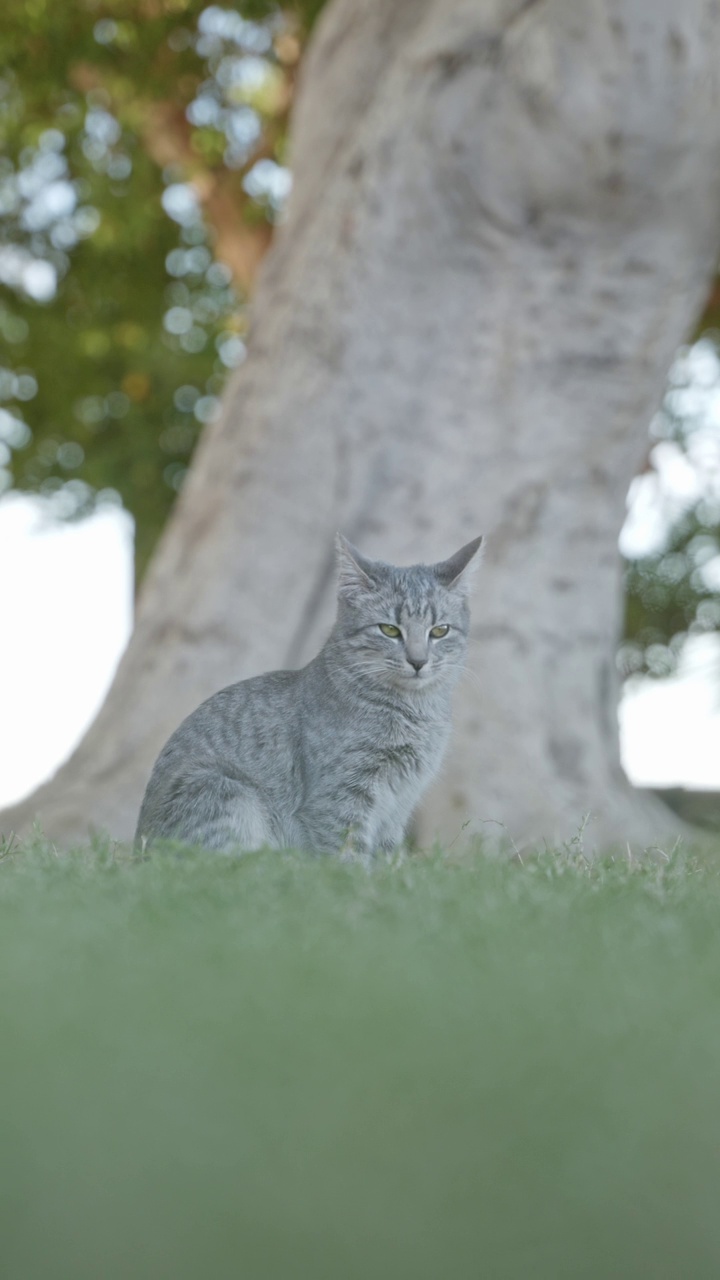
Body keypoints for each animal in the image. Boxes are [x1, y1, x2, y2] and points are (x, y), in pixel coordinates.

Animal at [134, 535, 481, 855]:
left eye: (440, 631)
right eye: (390, 630)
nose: (418, 661)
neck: (413, 711)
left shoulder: (398, 806)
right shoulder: (338, 799)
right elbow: (348, 859)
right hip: (221, 788)